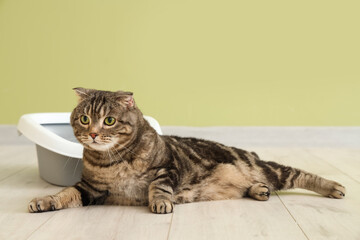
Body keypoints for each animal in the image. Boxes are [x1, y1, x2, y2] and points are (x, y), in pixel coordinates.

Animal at [27, 88, 344, 214]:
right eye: (84, 119)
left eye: (109, 121)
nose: (93, 133)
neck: (113, 161)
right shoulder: (90, 188)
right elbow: (65, 194)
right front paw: (43, 201)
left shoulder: (168, 167)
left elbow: (159, 187)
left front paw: (160, 203)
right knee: (255, 186)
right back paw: (258, 190)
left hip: (268, 168)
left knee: (299, 174)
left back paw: (334, 187)